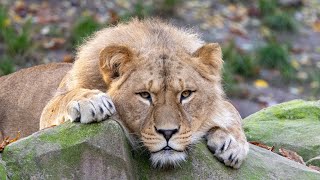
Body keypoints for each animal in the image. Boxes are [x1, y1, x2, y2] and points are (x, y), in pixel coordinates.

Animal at [40, 18, 249, 167]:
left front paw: (232, 143)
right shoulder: (45, 119)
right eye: (145, 95)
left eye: (186, 94)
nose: (167, 132)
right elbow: (60, 101)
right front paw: (91, 101)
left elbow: (230, 107)